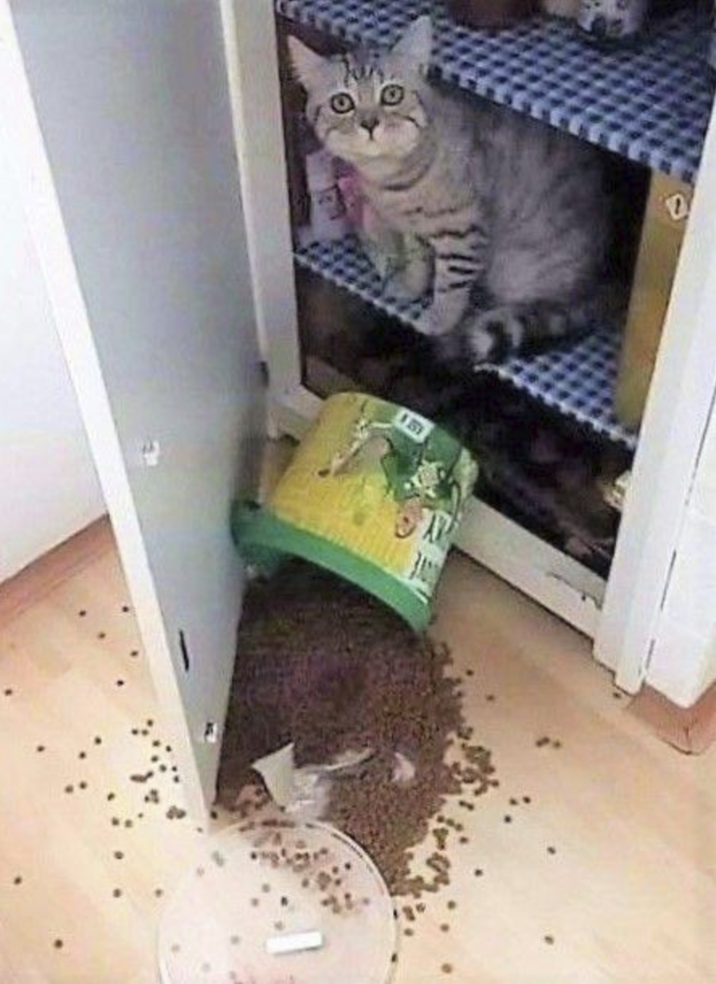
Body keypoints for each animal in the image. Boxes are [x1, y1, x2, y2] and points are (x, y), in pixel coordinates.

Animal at [289, 17, 610, 365]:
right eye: (342, 103)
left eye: (391, 94)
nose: (370, 123)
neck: (393, 181)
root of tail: (597, 288)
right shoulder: (413, 231)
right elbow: (418, 265)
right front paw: (411, 288)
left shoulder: (463, 230)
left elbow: (451, 284)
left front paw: (439, 319)